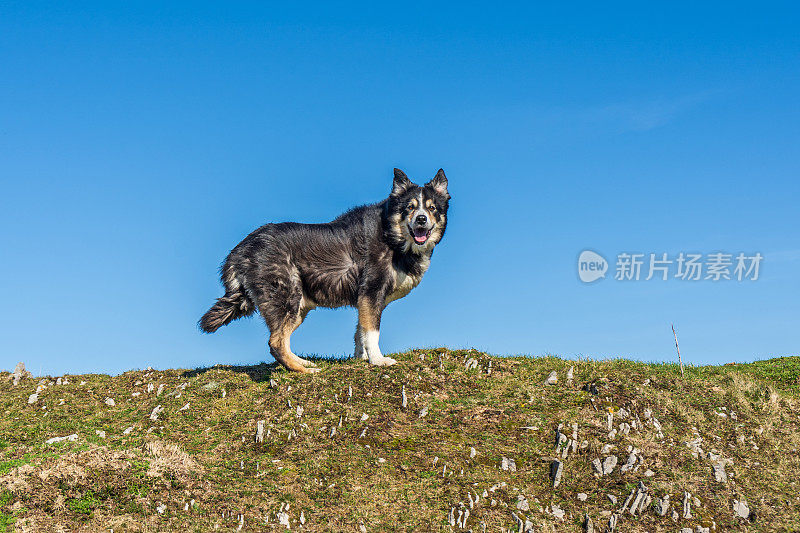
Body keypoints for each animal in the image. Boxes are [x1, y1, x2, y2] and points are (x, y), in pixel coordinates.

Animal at [200, 168, 450, 372]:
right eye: (410, 208)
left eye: (432, 208)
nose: (421, 219)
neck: (392, 235)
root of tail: (240, 249)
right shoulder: (371, 292)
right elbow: (372, 332)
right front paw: (378, 360)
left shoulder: (365, 299)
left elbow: (360, 332)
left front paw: (361, 359)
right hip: (287, 296)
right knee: (276, 343)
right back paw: (304, 371)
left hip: (298, 305)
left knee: (282, 340)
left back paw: (303, 362)